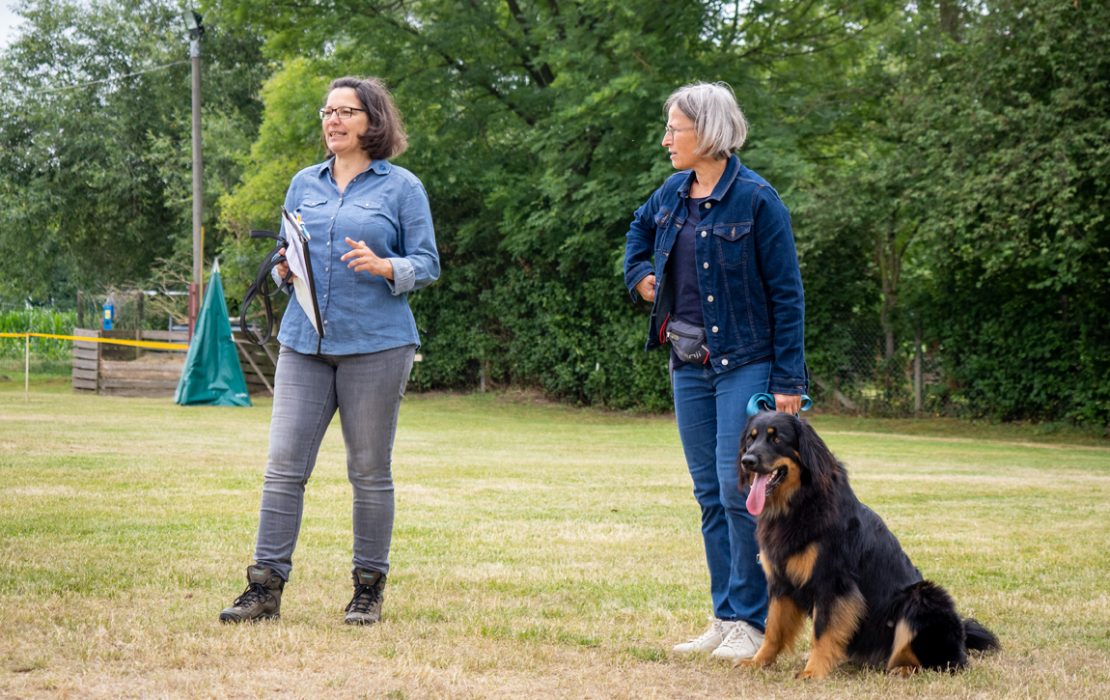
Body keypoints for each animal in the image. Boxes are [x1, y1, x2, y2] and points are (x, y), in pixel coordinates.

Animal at [737, 410, 999, 678]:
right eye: (750, 439)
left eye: (777, 439)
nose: (747, 460)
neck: (799, 503)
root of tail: (962, 639)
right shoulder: (780, 582)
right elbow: (773, 629)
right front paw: (758, 662)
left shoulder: (833, 583)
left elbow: (821, 632)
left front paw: (813, 672)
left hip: (922, 597)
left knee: (946, 663)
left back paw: (903, 669)